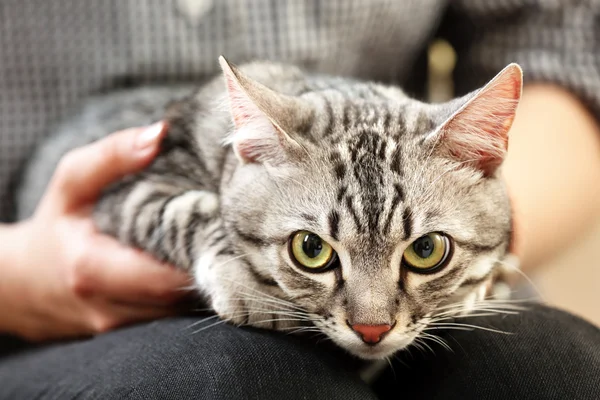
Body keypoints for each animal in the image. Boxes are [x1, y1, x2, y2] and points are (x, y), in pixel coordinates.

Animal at [16, 57, 524, 360]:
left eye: (426, 250)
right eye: (311, 249)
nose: (371, 330)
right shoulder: (134, 184)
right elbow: (190, 212)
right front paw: (245, 286)